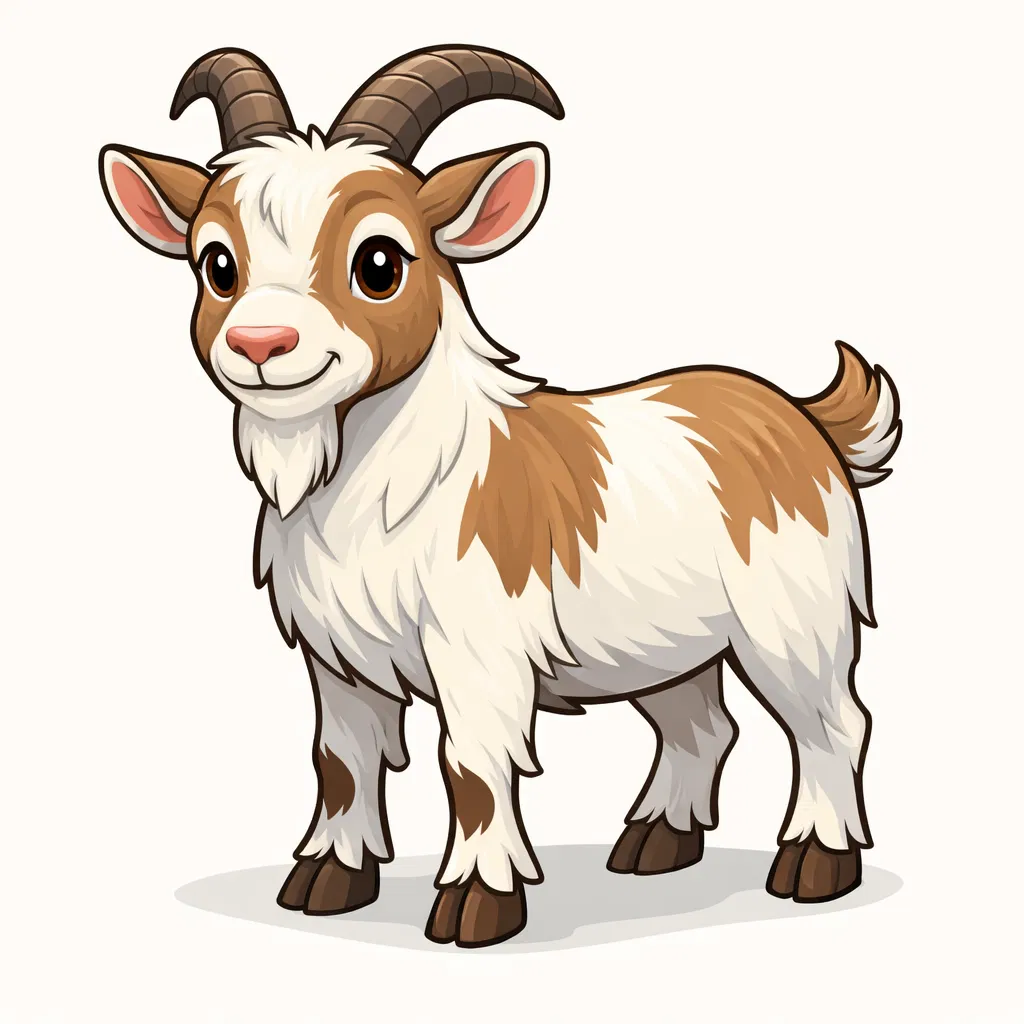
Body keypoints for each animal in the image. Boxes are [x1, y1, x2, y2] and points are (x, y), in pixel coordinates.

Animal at [99, 46, 901, 947]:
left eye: (379, 263)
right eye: (216, 264)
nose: (260, 343)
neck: (388, 487)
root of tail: (799, 416)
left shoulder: (476, 649)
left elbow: (472, 766)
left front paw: (477, 903)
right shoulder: (336, 657)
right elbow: (341, 761)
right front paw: (326, 879)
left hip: (795, 618)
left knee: (830, 721)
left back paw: (815, 863)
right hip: (669, 644)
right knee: (701, 724)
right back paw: (656, 841)